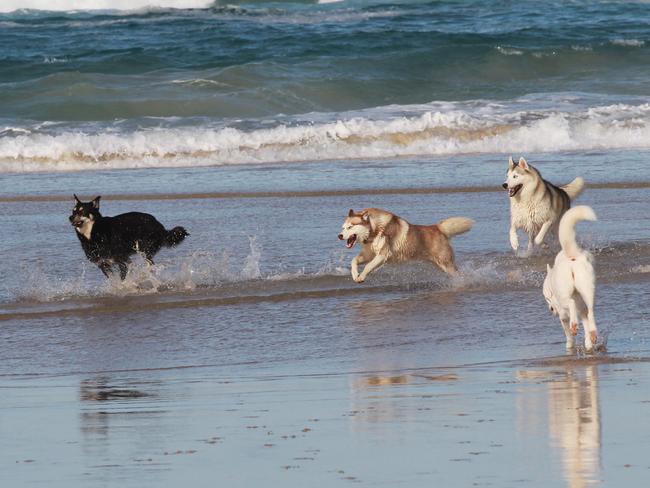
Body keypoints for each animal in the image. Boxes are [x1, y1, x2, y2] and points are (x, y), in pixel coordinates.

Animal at [340, 209, 470, 284]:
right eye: (343, 227)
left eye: (350, 227)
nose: (339, 235)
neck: (374, 230)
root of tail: (438, 228)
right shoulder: (369, 254)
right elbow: (354, 261)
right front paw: (355, 274)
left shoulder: (383, 254)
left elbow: (368, 266)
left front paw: (361, 277)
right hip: (440, 264)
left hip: (446, 264)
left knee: (458, 274)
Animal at [540, 206, 596, 350]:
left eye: (547, 297)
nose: (551, 310)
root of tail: (572, 256)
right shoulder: (582, 312)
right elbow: (586, 326)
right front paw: (589, 343)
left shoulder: (563, 315)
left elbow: (568, 334)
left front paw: (570, 345)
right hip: (587, 290)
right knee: (591, 311)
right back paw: (593, 333)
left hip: (564, 296)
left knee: (570, 303)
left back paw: (574, 325)